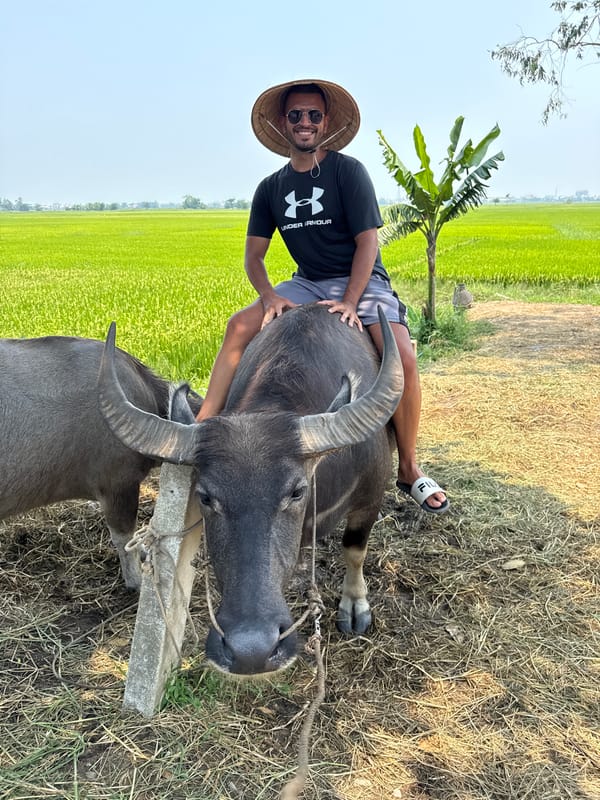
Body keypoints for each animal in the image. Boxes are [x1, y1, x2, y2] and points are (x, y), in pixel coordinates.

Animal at [98, 303, 403, 675]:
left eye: (297, 492)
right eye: (205, 497)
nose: (251, 651)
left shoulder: (371, 495)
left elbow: (355, 549)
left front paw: (355, 604)